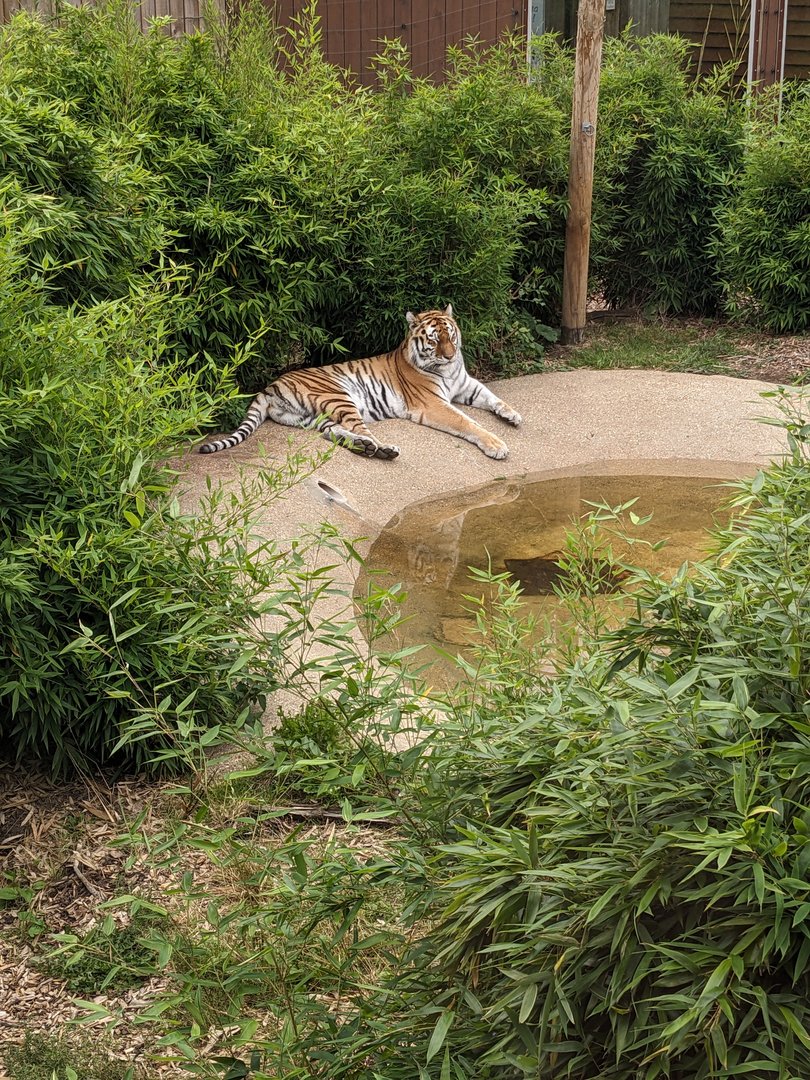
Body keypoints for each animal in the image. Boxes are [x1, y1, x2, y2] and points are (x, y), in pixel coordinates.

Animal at [198, 305, 522, 460]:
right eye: (433, 339)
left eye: (451, 335)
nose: (450, 355)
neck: (449, 369)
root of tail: (270, 386)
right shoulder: (432, 403)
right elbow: (467, 422)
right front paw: (497, 445)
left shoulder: (466, 384)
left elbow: (492, 397)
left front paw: (513, 415)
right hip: (338, 396)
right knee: (360, 430)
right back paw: (383, 450)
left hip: (310, 417)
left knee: (334, 434)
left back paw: (366, 448)